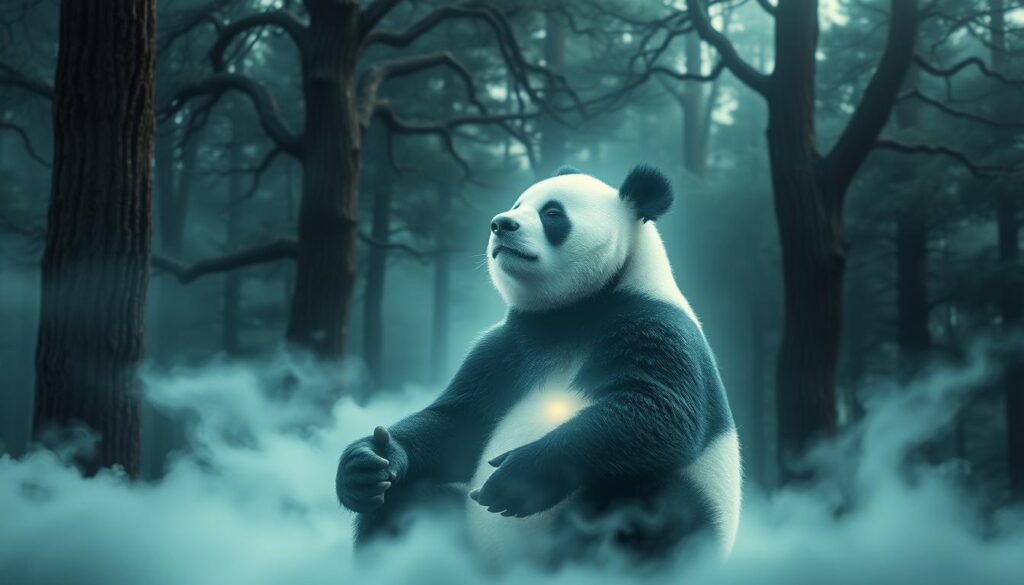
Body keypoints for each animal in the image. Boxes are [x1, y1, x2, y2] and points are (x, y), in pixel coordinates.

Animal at [336, 165, 740, 568]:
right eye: (517, 205)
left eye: (552, 213)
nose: (501, 223)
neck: (573, 312)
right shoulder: (507, 348)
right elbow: (458, 424)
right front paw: (365, 464)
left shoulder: (653, 324)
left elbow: (662, 411)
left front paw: (519, 478)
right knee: (404, 501)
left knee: (652, 508)